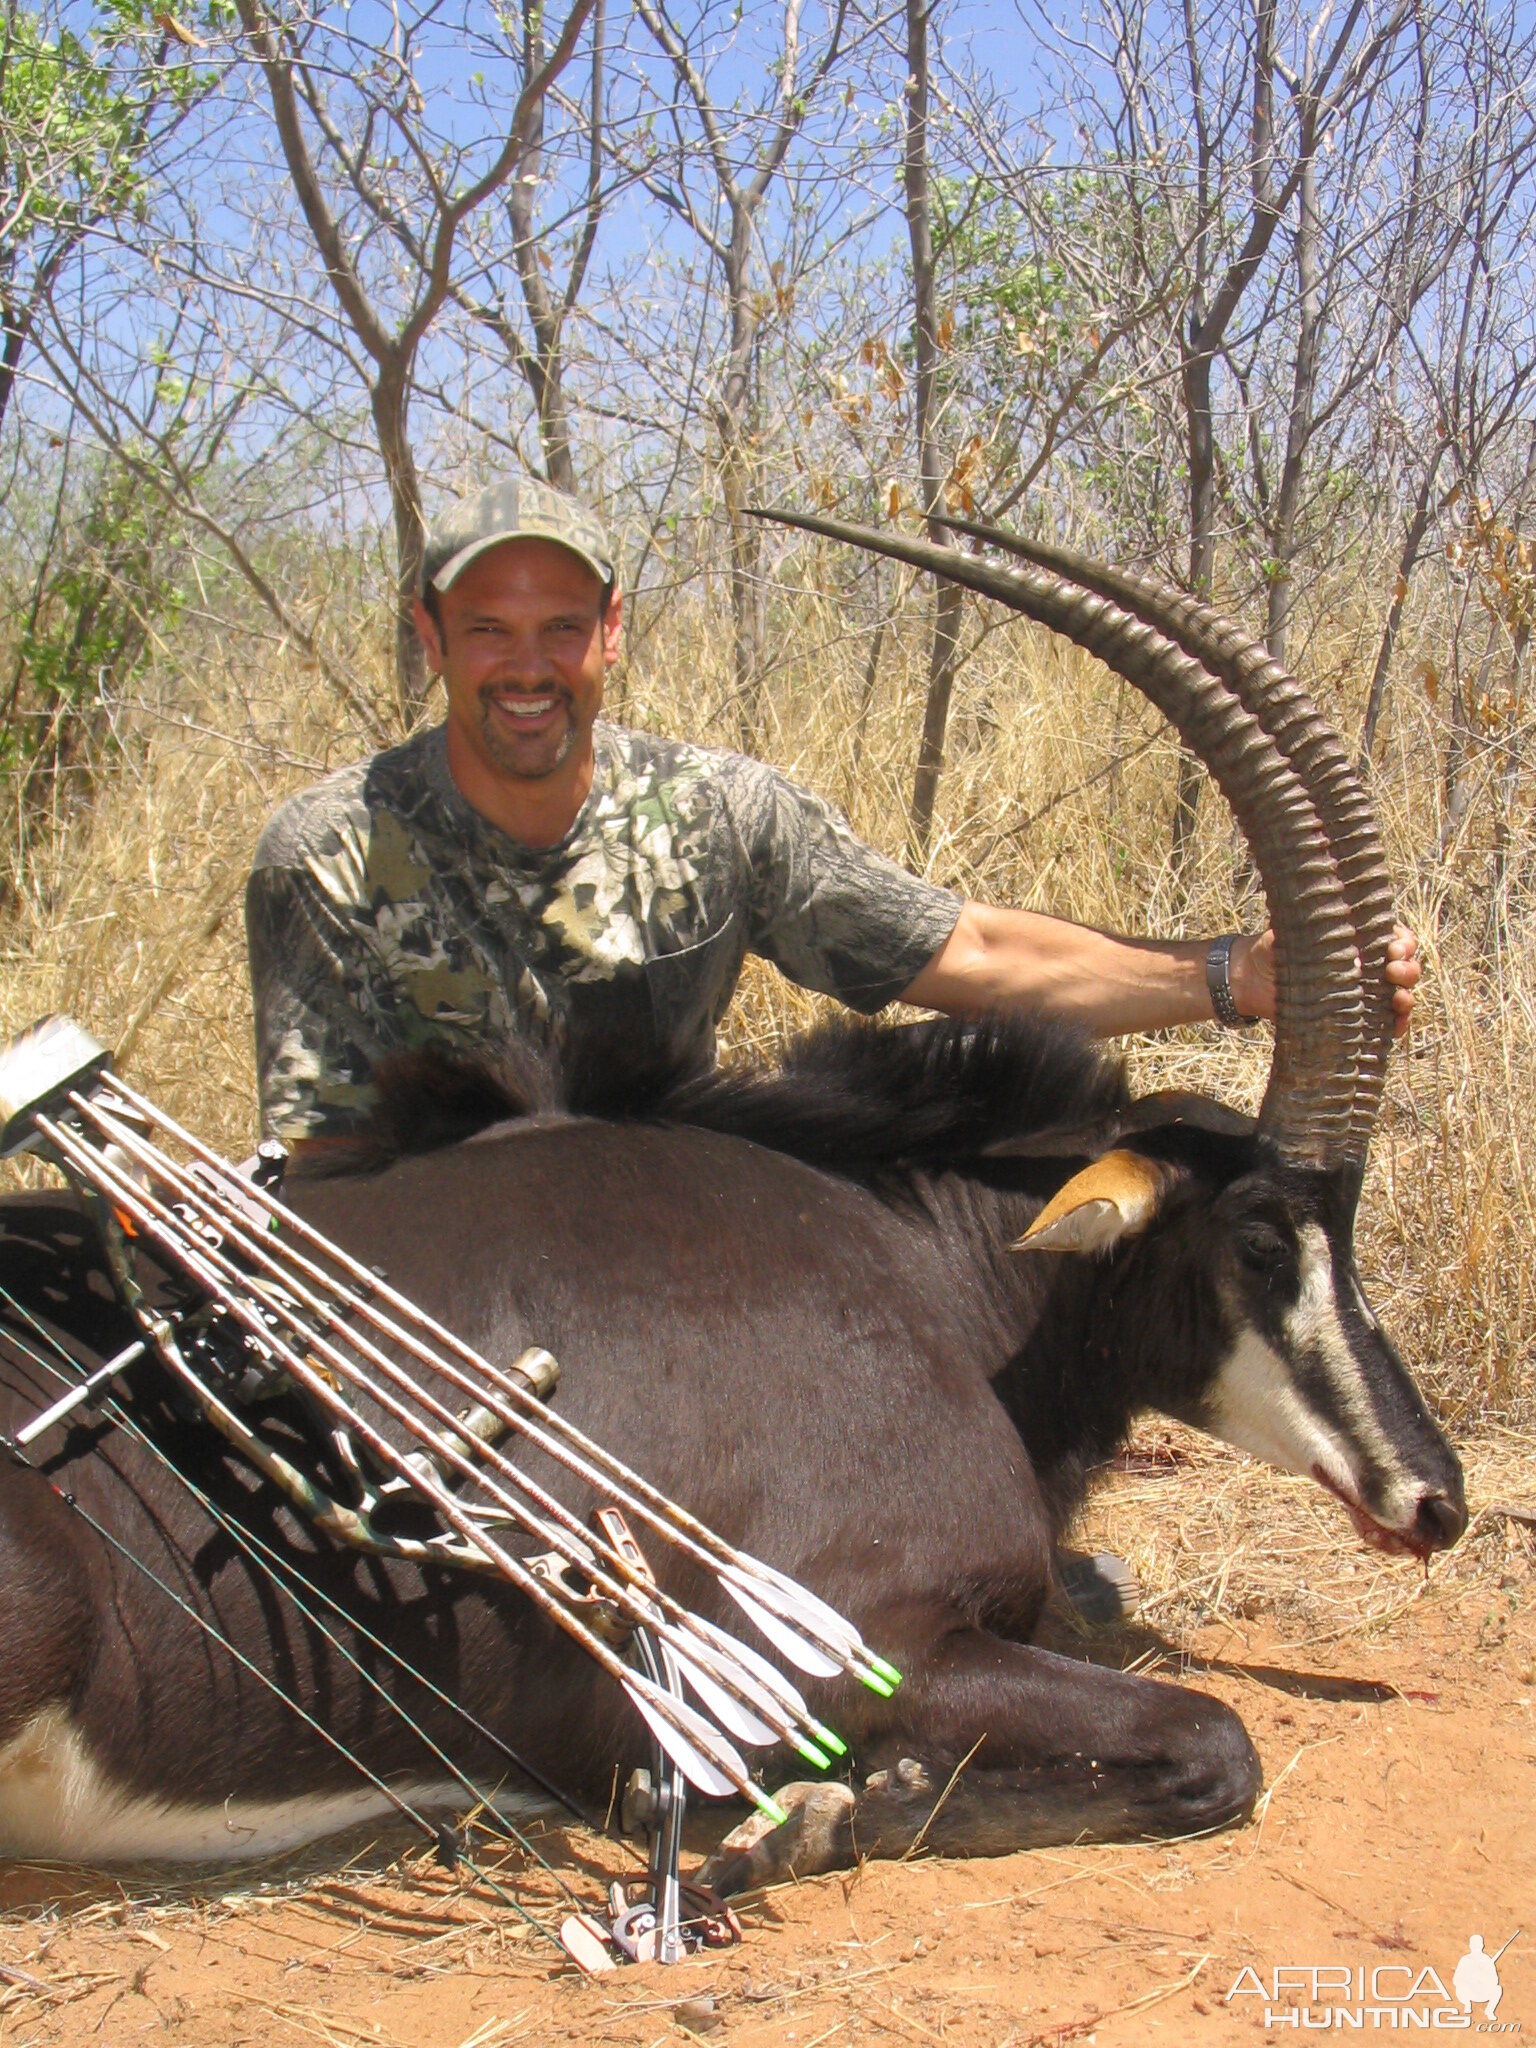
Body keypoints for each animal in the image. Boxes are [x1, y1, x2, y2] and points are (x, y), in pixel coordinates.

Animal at [0, 528, 1466, 1884]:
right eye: (1263, 1237)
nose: (1435, 1496)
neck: (918, 1271)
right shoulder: (844, 1641)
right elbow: (1214, 1739)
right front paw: (799, 1819)